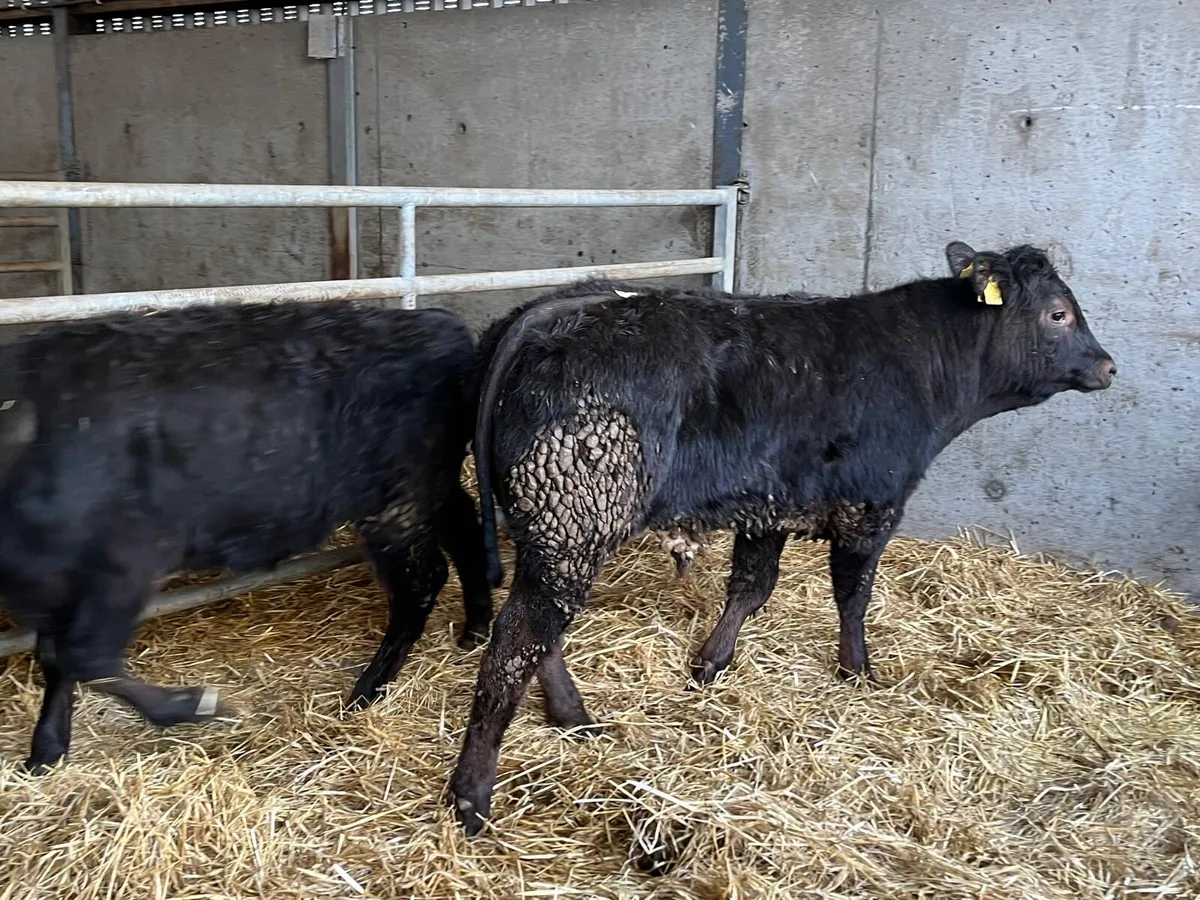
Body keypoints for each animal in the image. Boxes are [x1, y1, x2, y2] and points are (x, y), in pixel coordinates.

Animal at [0, 300, 501, 773]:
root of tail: (434, 321)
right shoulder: (57, 583)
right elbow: (56, 657)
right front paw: (47, 748)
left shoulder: (127, 558)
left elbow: (86, 657)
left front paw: (191, 705)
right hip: (427, 490)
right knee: (465, 531)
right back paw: (475, 628)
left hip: (400, 499)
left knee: (423, 580)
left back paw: (368, 689)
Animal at [448, 241, 1117, 834]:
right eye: (1059, 313)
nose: (1109, 365)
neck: (922, 365)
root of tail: (552, 311)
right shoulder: (871, 504)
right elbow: (852, 596)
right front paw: (858, 670)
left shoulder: (766, 505)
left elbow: (751, 587)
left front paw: (709, 663)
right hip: (575, 514)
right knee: (519, 637)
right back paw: (472, 794)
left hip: (550, 525)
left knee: (539, 634)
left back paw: (573, 717)